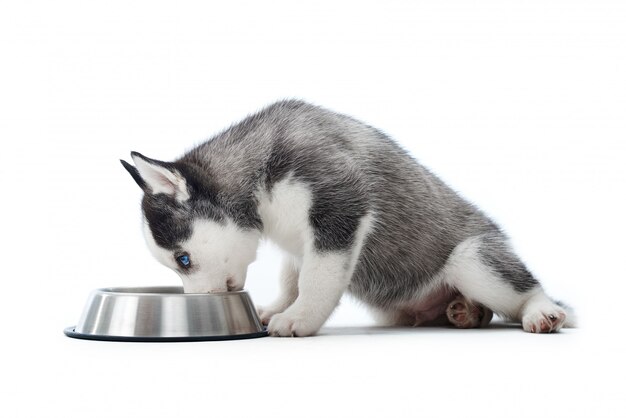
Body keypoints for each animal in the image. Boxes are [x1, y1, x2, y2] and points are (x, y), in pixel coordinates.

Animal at [120, 100, 572, 336]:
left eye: (183, 260)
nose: (200, 305)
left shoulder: (339, 208)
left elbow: (316, 280)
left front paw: (300, 317)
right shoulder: (299, 243)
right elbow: (292, 278)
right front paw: (279, 306)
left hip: (474, 259)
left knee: (524, 288)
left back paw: (539, 311)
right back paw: (465, 312)